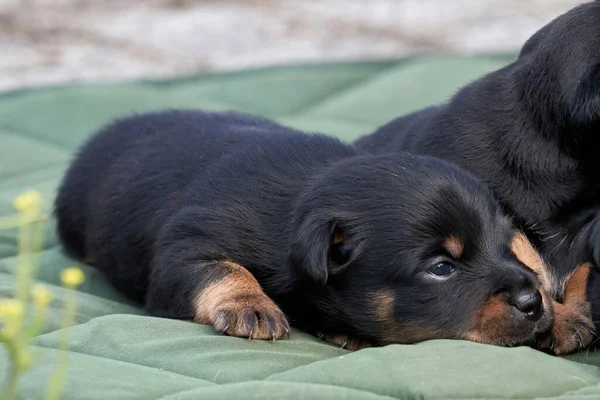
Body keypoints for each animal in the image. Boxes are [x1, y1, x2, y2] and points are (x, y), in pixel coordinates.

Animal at [55, 109, 584, 354]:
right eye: (441, 268)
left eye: (506, 243)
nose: (531, 302)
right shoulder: (187, 243)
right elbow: (218, 269)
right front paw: (251, 305)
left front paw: (560, 314)